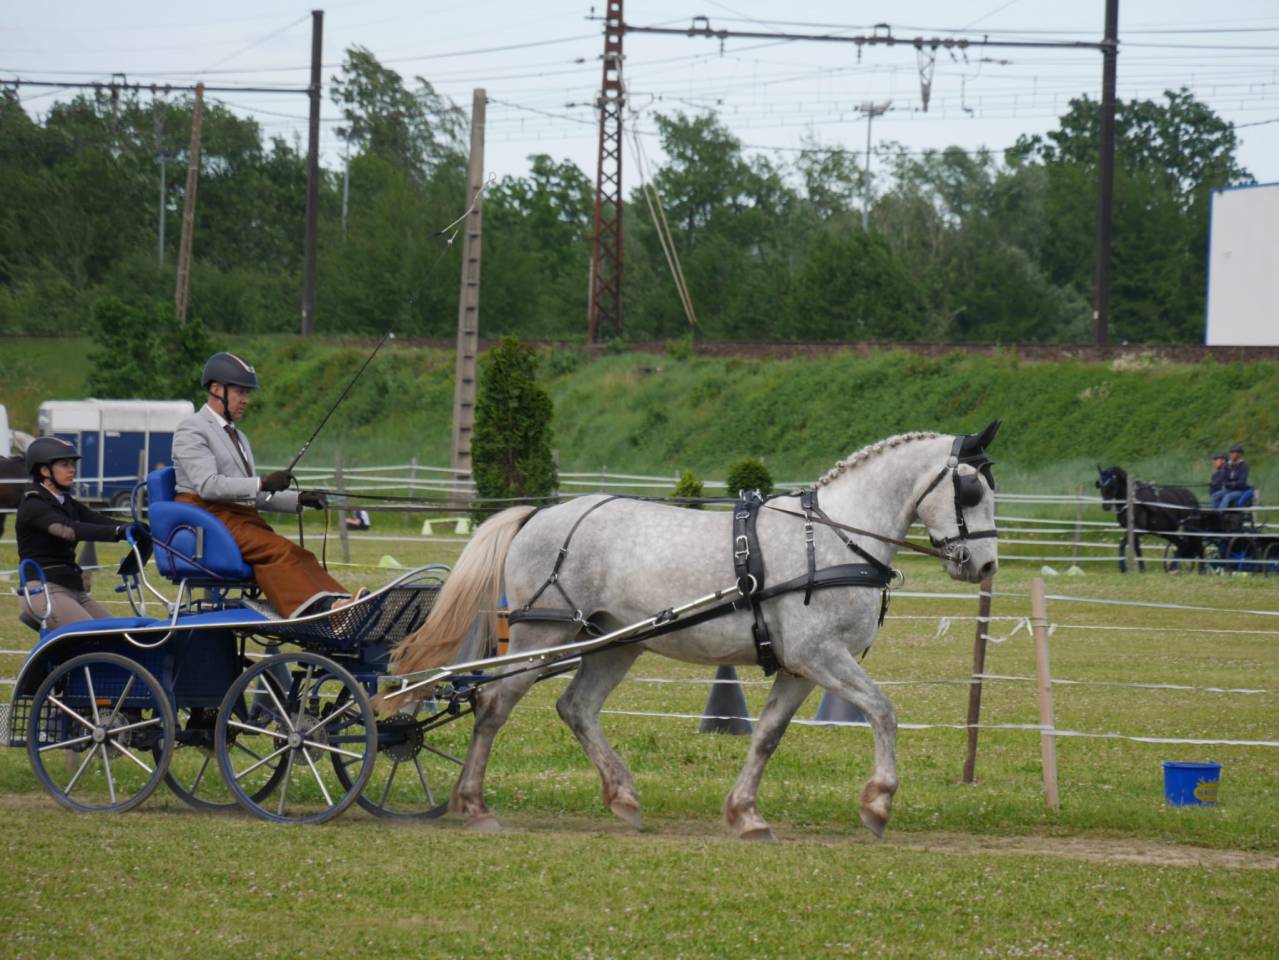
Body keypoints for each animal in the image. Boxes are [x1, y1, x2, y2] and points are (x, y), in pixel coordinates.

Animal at [386, 424, 1002, 841]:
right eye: (971, 491)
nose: (986, 565)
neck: (831, 539)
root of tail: (538, 514)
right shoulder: (821, 655)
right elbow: (882, 711)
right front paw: (878, 803)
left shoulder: (801, 668)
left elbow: (767, 735)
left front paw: (745, 814)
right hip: (542, 638)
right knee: (493, 703)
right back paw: (473, 804)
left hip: (615, 643)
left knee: (575, 707)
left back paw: (623, 796)